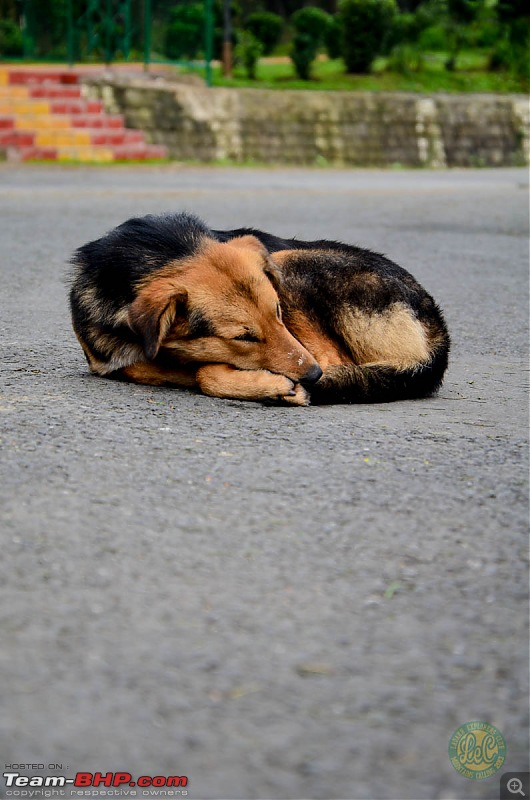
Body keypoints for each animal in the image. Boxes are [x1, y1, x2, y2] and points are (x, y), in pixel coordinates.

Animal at [69, 211, 450, 406]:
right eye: (243, 337)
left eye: (278, 312)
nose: (312, 377)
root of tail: (435, 323)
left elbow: (204, 374)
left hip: (290, 261)